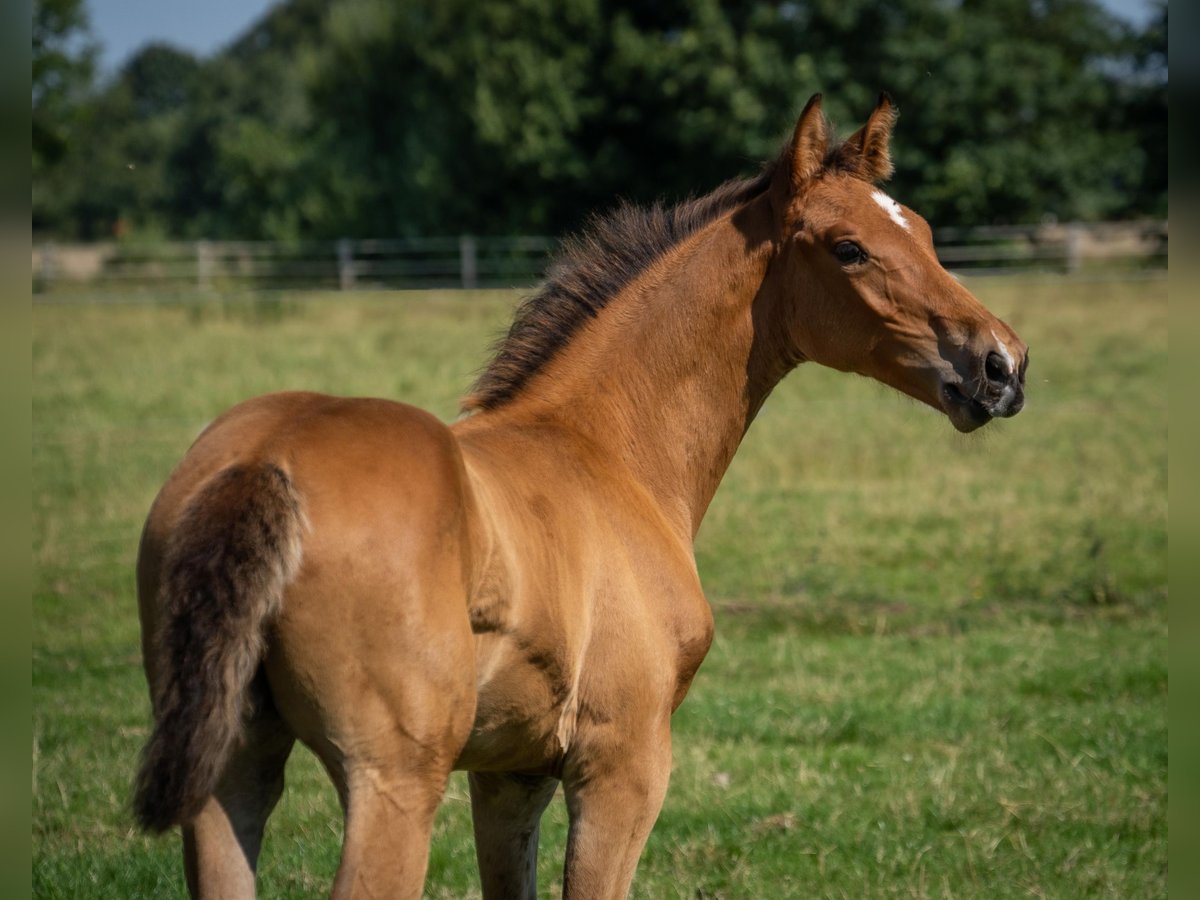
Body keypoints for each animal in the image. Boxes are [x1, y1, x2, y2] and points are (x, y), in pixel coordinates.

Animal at [133, 95, 1032, 897]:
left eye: (922, 230)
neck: (605, 451)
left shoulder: (510, 772)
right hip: (392, 779)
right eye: (848, 248)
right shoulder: (623, 764)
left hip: (234, 770)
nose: (1001, 364)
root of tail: (263, 464)